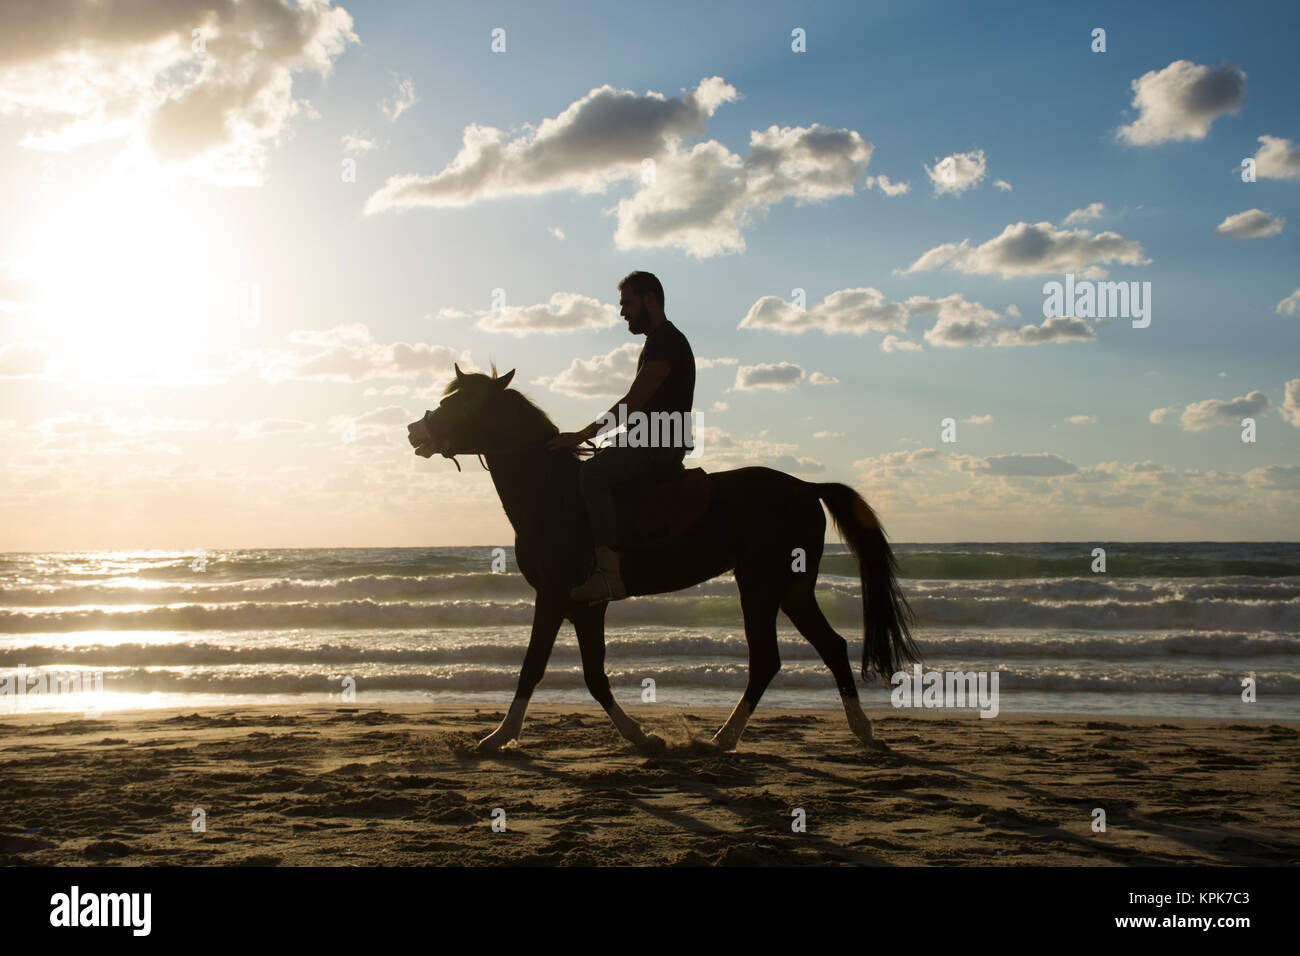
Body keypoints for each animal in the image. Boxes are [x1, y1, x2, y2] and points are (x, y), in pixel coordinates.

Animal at [407, 364, 920, 754]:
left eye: (459, 403)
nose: (415, 430)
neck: (553, 494)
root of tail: (806, 487)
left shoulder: (558, 597)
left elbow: (537, 667)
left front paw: (497, 738)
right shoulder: (580, 606)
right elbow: (591, 676)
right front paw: (639, 736)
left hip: (760, 584)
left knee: (767, 659)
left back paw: (724, 738)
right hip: (791, 588)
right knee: (830, 646)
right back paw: (861, 730)